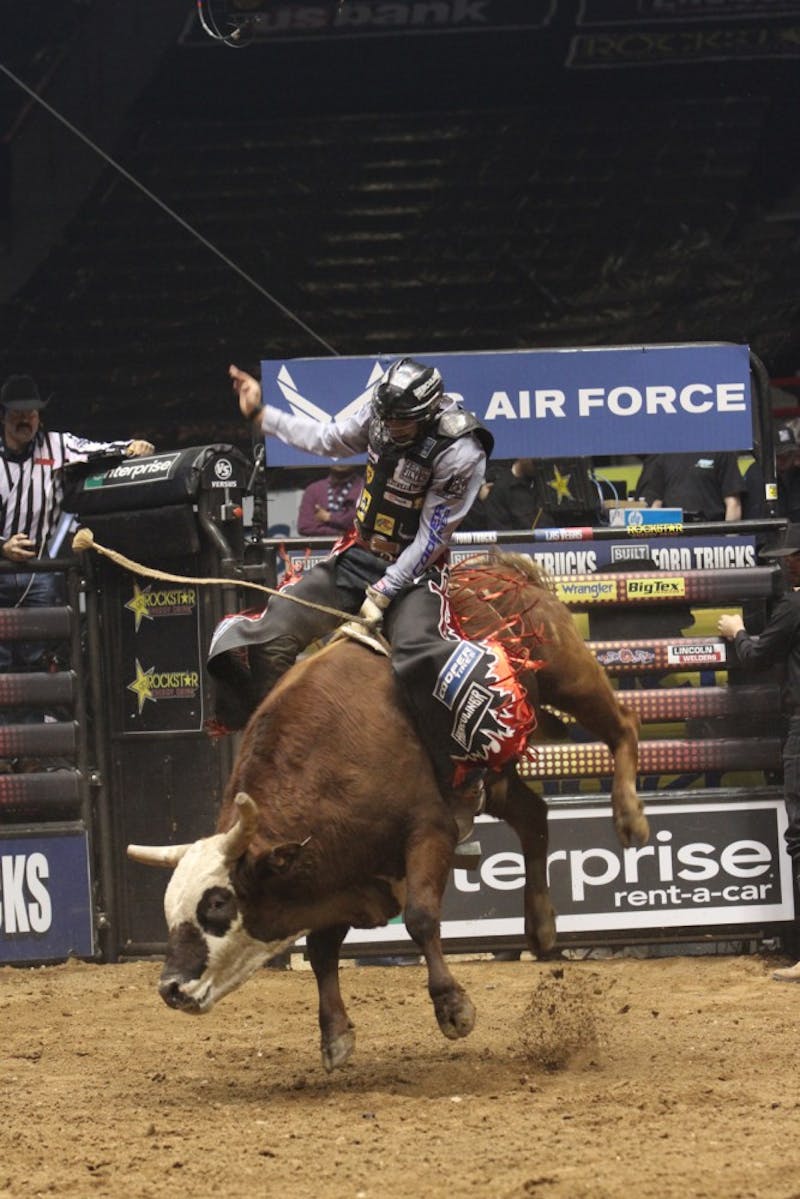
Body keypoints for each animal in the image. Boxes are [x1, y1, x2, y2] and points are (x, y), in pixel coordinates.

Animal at [130, 549, 642, 1069]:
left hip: (566, 671)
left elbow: (419, 917)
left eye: (217, 903)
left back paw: (631, 819)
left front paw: (452, 1008)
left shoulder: (428, 832)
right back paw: (540, 926)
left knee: (622, 724)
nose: (170, 988)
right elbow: (321, 949)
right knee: (535, 816)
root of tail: (498, 567)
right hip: (496, 779)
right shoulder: (335, 871)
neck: (328, 760)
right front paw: (335, 1034)